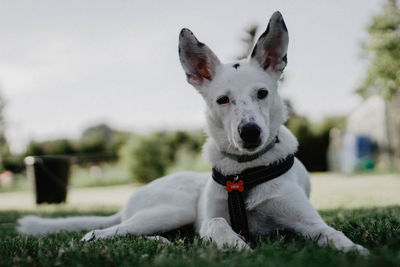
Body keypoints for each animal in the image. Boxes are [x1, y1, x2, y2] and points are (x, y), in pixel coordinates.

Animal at [18, 11, 368, 256]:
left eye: (262, 93)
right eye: (223, 100)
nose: (250, 133)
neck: (244, 171)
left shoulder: (307, 221)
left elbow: (332, 232)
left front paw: (354, 250)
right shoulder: (211, 217)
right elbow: (215, 223)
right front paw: (235, 244)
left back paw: (163, 243)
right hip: (174, 208)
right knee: (97, 234)